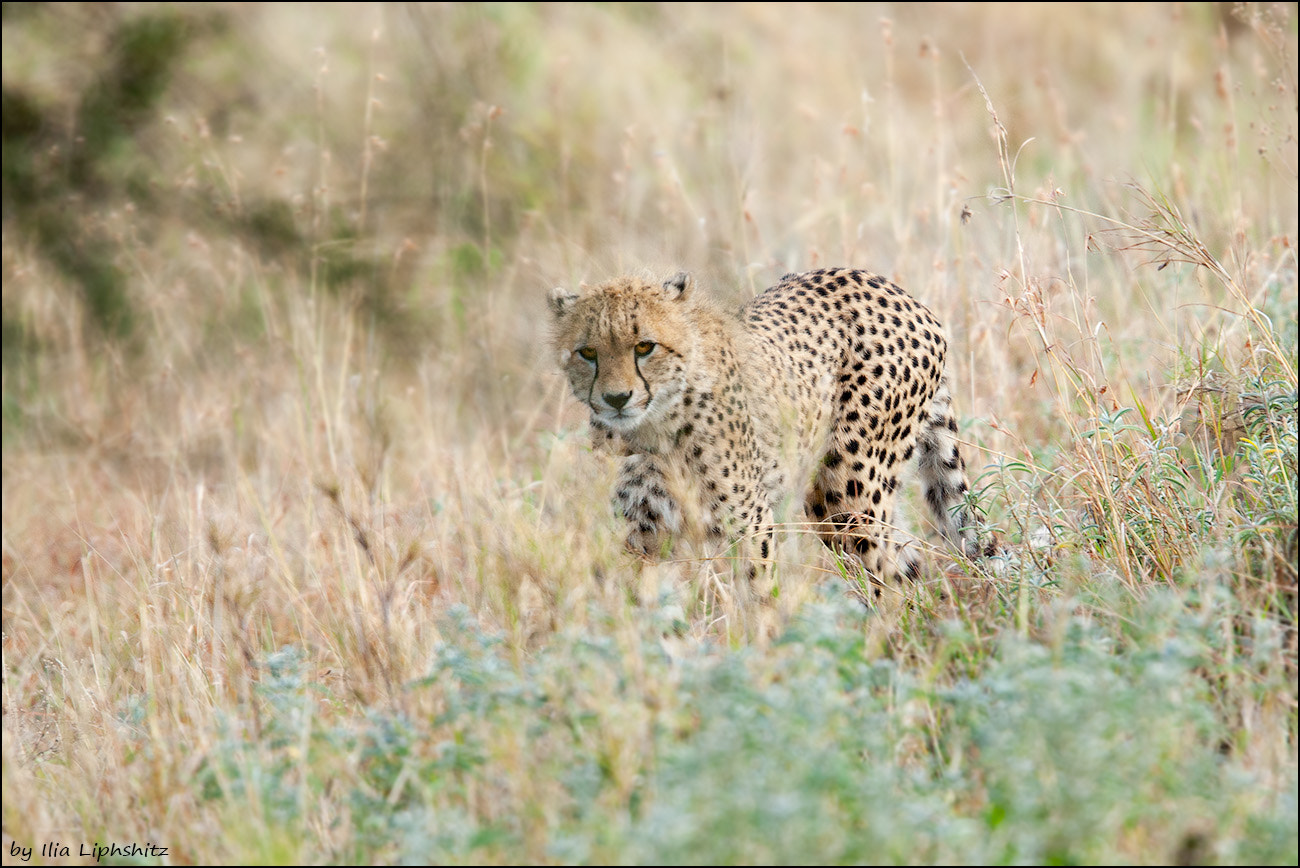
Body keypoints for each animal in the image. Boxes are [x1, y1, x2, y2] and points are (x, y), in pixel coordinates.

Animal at [546, 267, 977, 587]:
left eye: (644, 347)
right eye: (588, 352)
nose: (617, 398)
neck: (653, 430)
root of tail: (889, 286)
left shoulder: (749, 522)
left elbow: (756, 599)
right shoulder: (644, 536)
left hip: (846, 493)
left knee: (888, 573)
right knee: (908, 563)